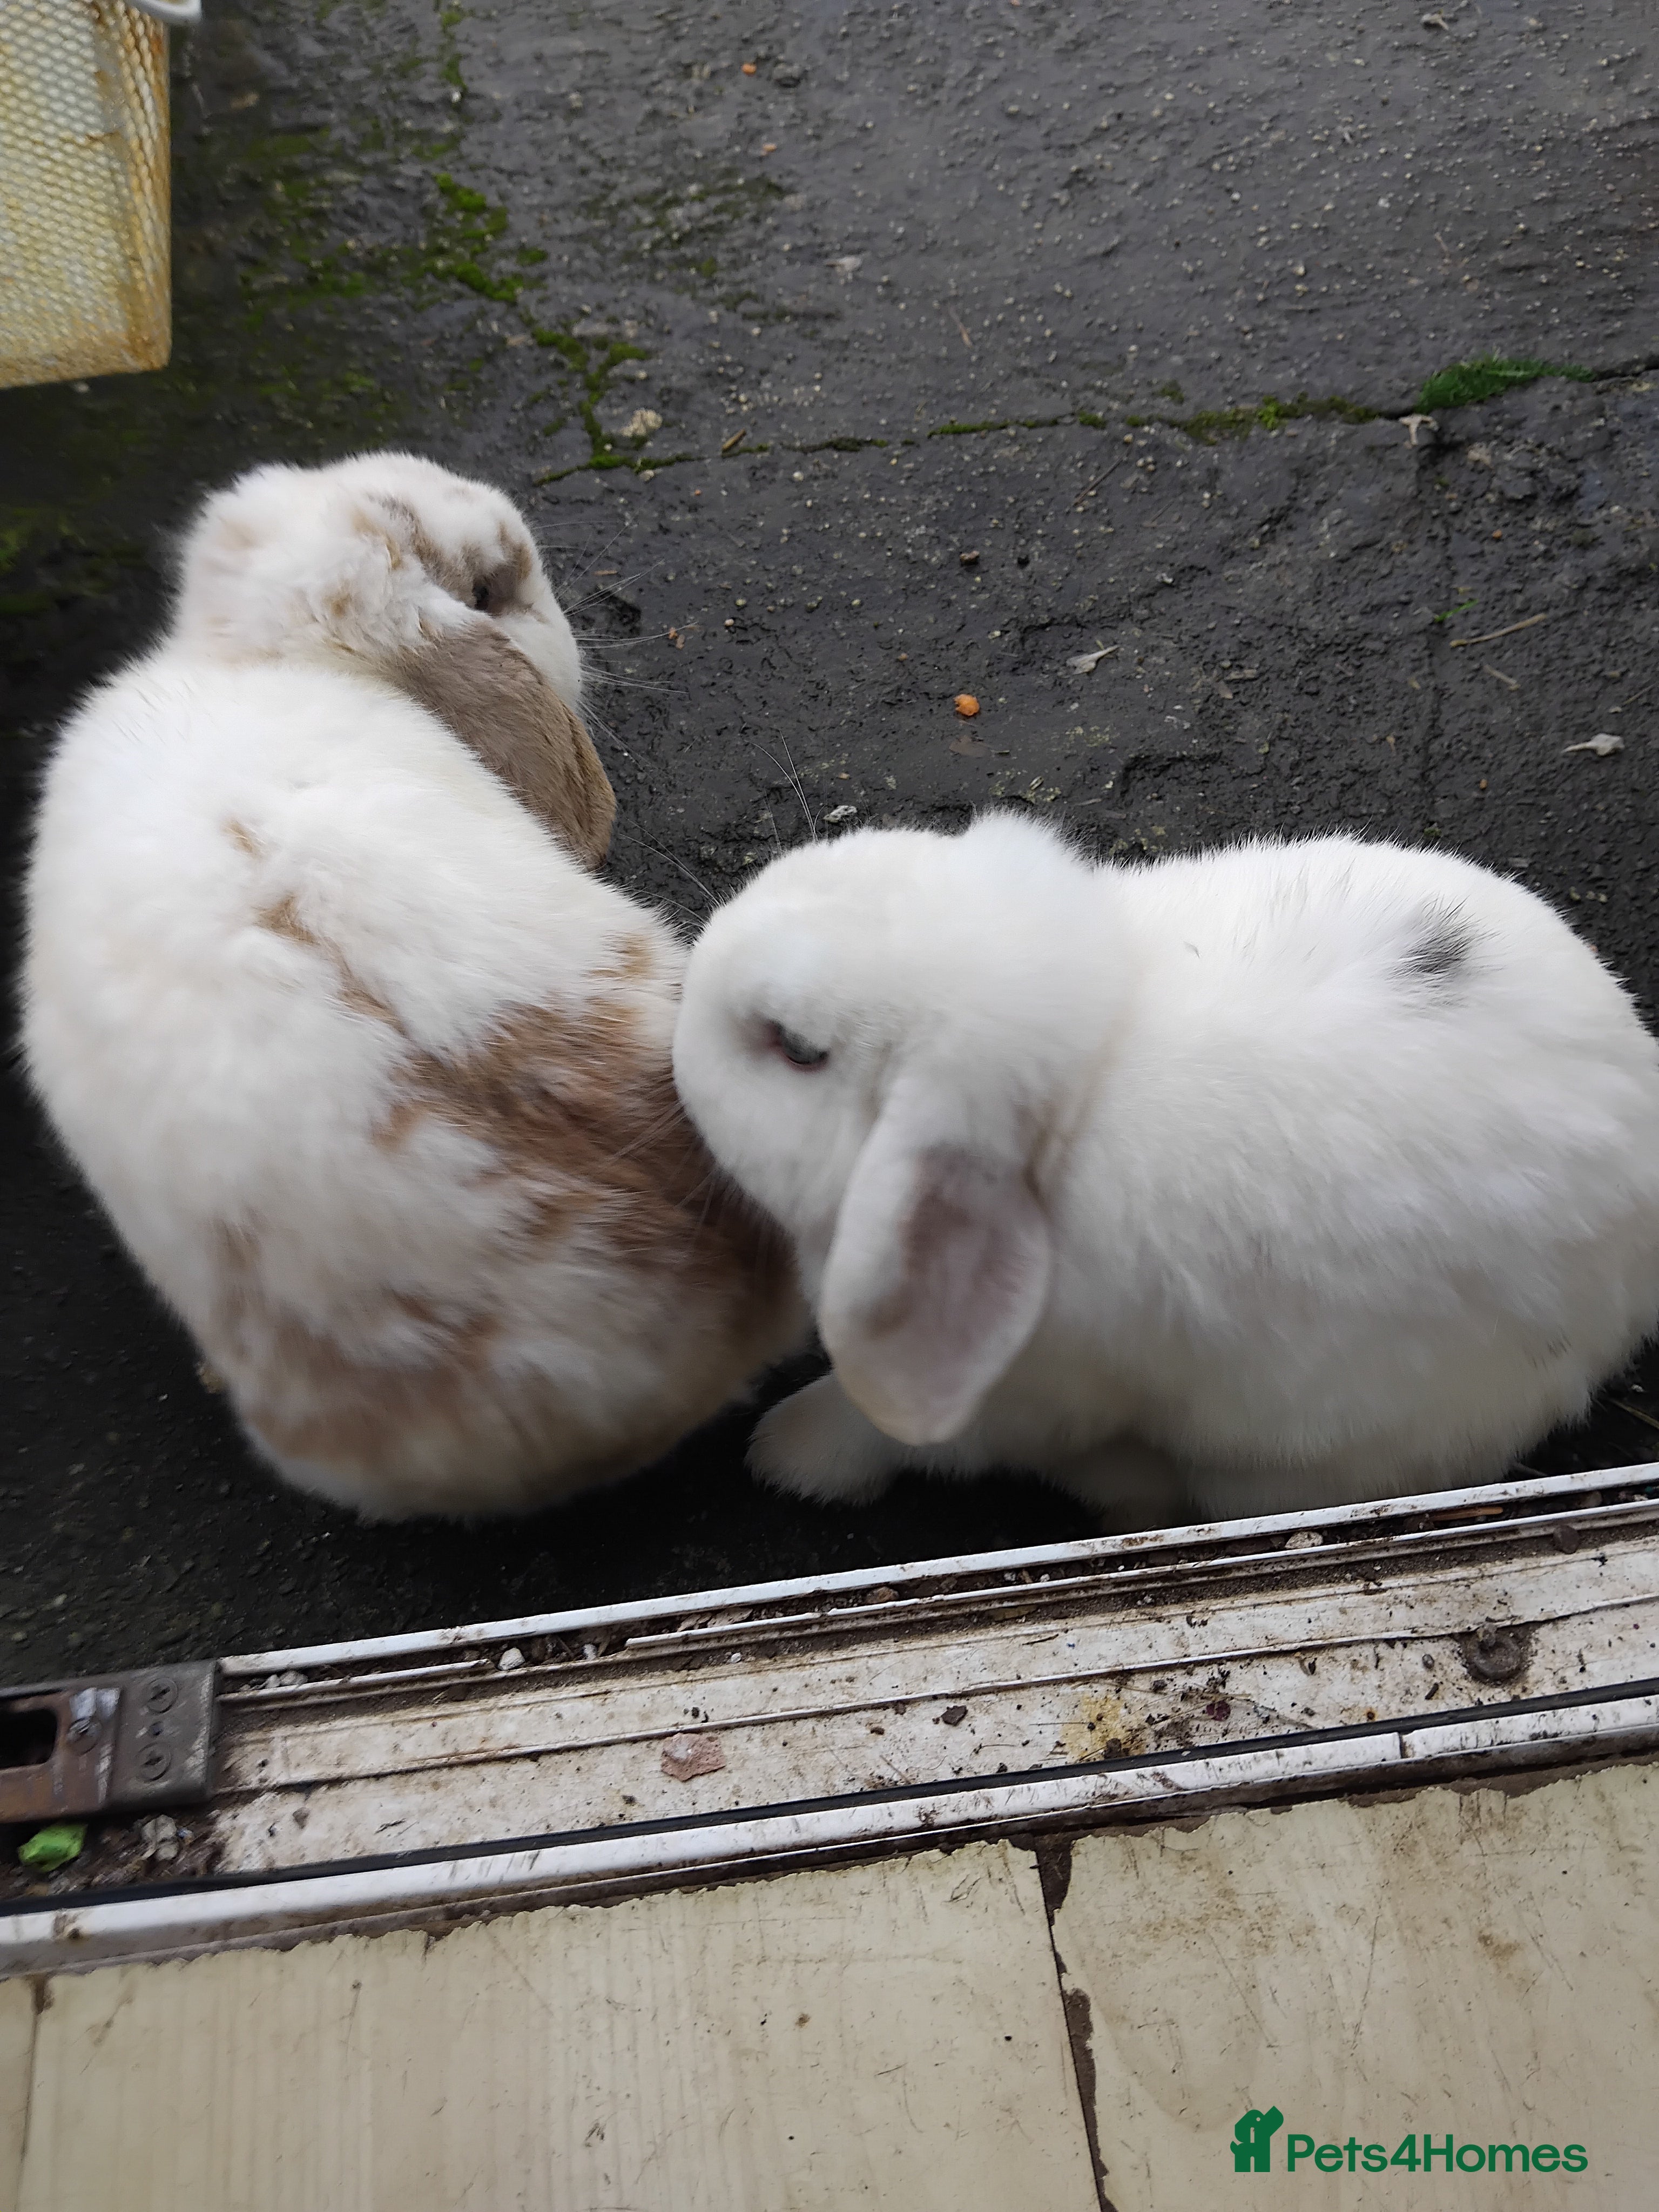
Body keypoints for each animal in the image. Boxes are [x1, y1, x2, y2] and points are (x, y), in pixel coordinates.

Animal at [672, 811, 1659, 1530]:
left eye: (798, 1050)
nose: (696, 968)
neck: (1086, 1076)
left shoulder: (1018, 1398)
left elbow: (884, 1429)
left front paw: (785, 1454)